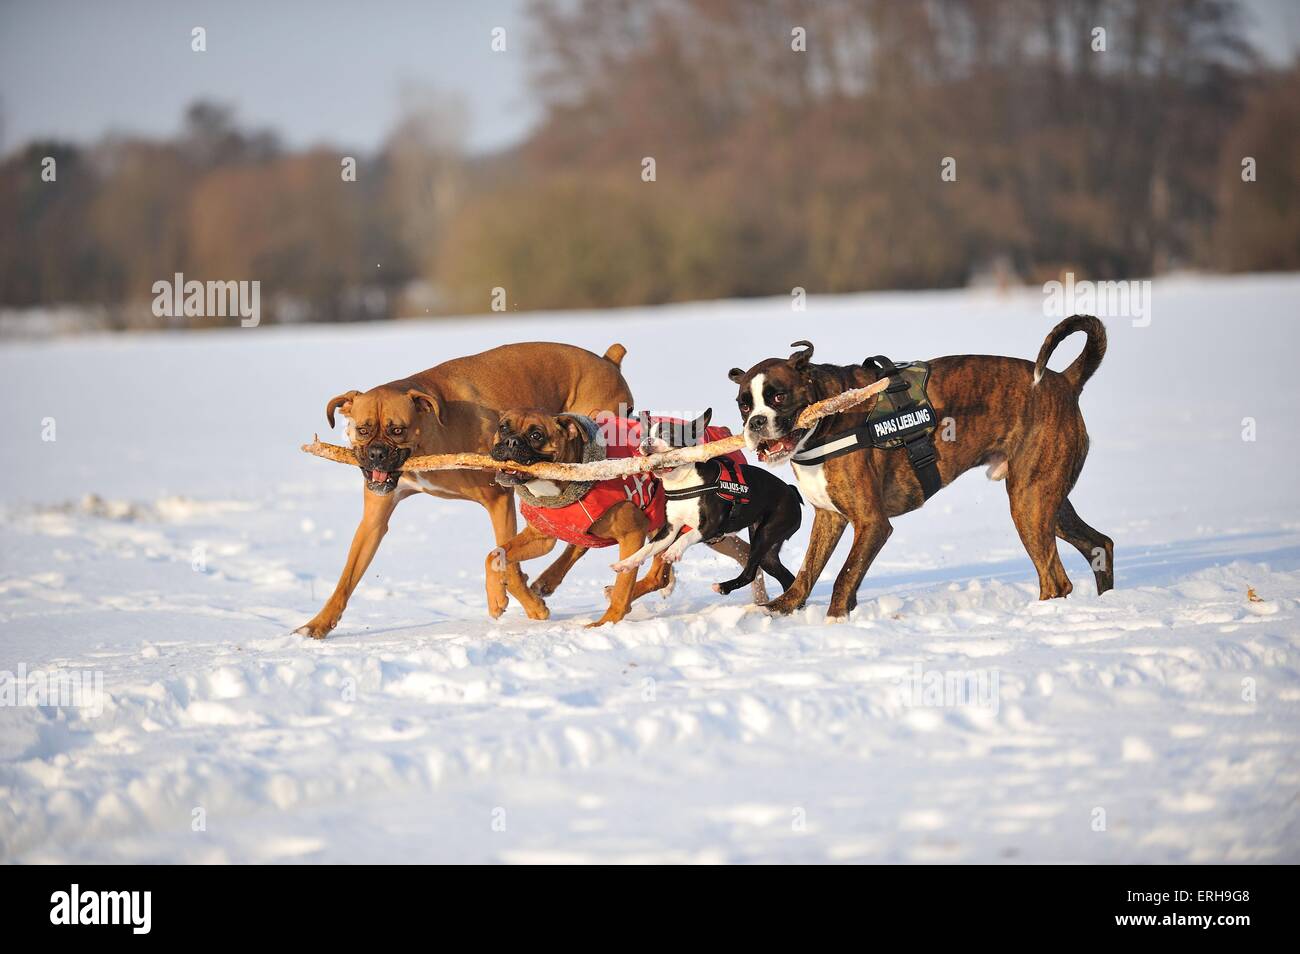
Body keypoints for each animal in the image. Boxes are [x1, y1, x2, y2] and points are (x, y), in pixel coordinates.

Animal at [299, 340, 634, 639]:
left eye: (397, 430)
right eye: (363, 430)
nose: (377, 454)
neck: (430, 432)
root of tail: (608, 360)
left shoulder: (498, 499)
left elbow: (507, 562)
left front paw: (527, 606)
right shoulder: (373, 521)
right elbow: (347, 578)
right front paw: (317, 626)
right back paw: (546, 582)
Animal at [608, 410, 800, 597]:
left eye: (667, 434)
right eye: (643, 436)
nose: (647, 441)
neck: (683, 481)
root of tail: (792, 492)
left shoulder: (711, 526)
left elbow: (686, 536)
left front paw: (673, 551)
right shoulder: (669, 529)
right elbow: (648, 548)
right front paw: (627, 563)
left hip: (766, 532)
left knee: (750, 573)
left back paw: (723, 587)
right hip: (767, 547)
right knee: (783, 576)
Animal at [733, 317, 1118, 623]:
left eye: (778, 396)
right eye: (743, 405)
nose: (756, 423)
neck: (829, 415)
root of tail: (1064, 381)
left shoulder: (873, 524)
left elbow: (845, 575)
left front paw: (835, 622)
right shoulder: (829, 518)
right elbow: (806, 572)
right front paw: (779, 609)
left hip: (1029, 502)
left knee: (1055, 579)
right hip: (1047, 499)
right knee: (1100, 544)